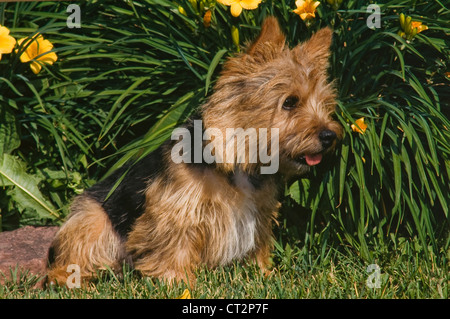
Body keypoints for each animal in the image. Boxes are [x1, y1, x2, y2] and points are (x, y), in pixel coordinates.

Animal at [45, 16, 342, 286]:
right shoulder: (175, 211)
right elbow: (174, 247)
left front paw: (264, 274)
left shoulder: (259, 214)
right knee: (71, 260)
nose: (329, 136)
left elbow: (257, 247)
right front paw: (179, 281)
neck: (236, 161)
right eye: (289, 102)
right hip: (92, 220)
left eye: (325, 104)